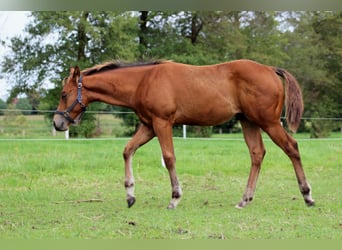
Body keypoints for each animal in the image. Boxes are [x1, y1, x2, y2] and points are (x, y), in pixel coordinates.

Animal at [52, 59, 316, 209]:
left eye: (64, 94)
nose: (57, 123)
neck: (143, 80)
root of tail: (271, 69)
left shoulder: (162, 123)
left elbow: (169, 158)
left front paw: (175, 197)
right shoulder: (148, 126)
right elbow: (128, 151)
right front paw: (130, 195)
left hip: (268, 122)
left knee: (291, 147)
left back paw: (307, 196)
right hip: (248, 122)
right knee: (257, 154)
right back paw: (244, 199)